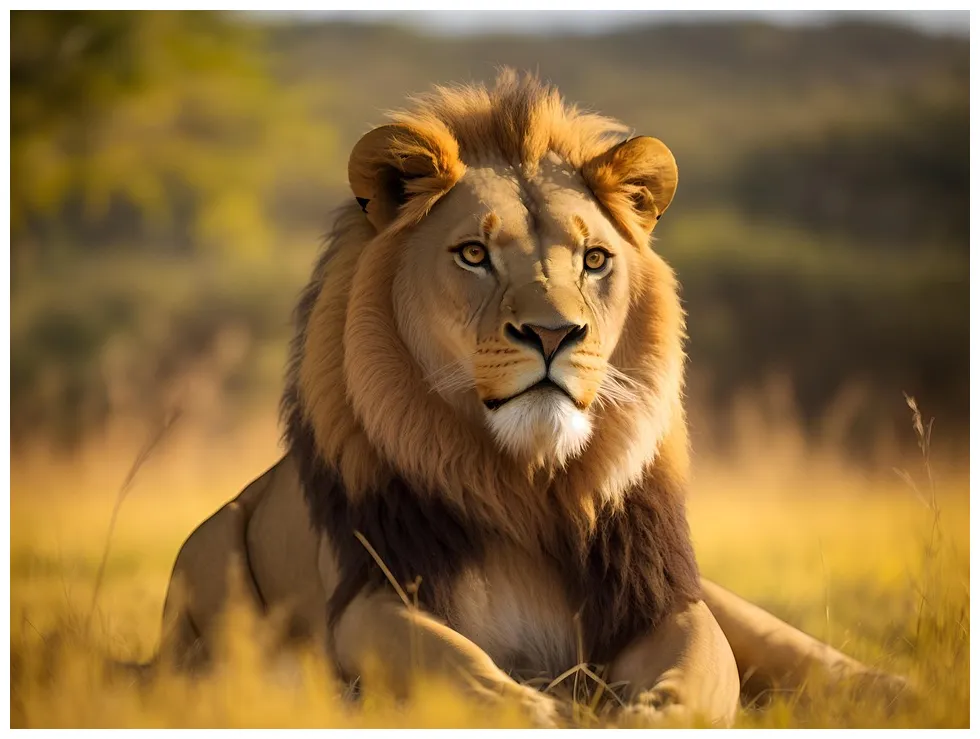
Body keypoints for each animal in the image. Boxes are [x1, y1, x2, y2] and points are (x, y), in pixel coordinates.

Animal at [146, 71, 907, 727]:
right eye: (473, 254)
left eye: (594, 260)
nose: (553, 333)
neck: (529, 486)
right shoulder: (372, 594)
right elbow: (455, 663)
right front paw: (541, 709)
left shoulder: (662, 595)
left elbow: (701, 662)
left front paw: (651, 713)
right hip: (208, 555)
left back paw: (893, 687)